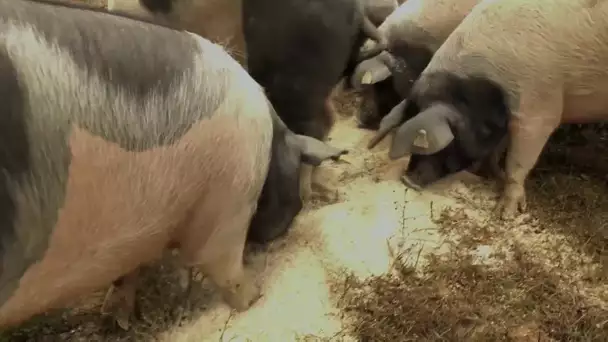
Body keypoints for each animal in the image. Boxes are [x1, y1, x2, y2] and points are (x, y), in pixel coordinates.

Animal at [0, 0, 344, 332]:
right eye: (291, 202)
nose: (276, 233)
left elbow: (127, 275)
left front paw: (117, 321)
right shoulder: (229, 205)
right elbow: (222, 266)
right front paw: (254, 295)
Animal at [366, 0, 608, 219]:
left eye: (424, 140)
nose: (407, 180)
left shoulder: (537, 109)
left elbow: (516, 162)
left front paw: (505, 214)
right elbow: (495, 152)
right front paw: (490, 175)